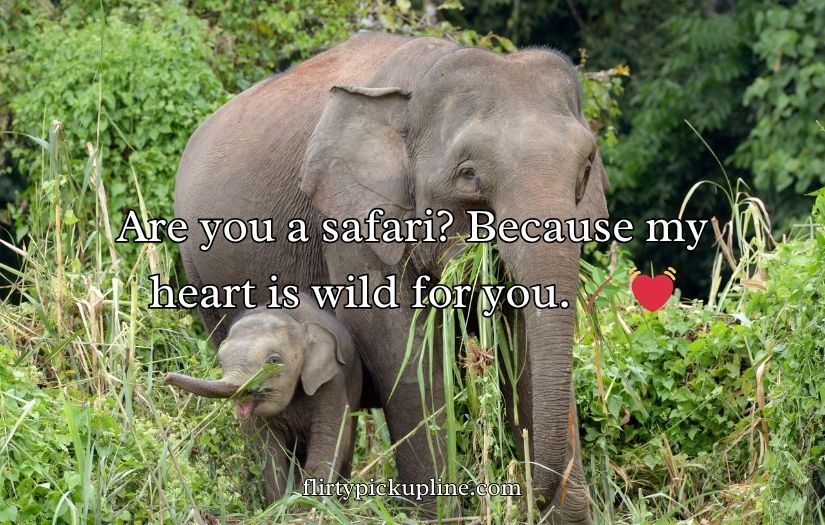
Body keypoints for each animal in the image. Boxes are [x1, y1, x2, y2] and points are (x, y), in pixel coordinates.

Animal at [164, 294, 361, 501]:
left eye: (274, 361)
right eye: (220, 360)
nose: (166, 376)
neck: (291, 319)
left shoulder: (331, 383)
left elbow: (326, 444)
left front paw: (299, 506)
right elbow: (268, 451)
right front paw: (280, 503)